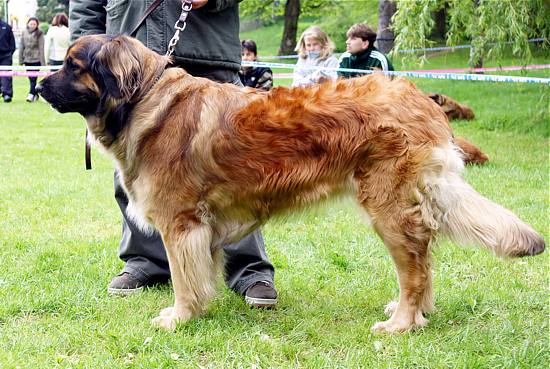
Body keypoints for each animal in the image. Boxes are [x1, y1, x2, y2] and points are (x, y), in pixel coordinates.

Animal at [37, 35, 548, 334]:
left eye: (72, 65)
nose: (39, 85)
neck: (141, 98)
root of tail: (421, 98)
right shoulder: (203, 228)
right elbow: (201, 275)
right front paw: (197, 310)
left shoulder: (181, 223)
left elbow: (184, 279)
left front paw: (179, 317)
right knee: (425, 263)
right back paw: (414, 313)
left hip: (389, 210)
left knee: (416, 267)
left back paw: (403, 323)